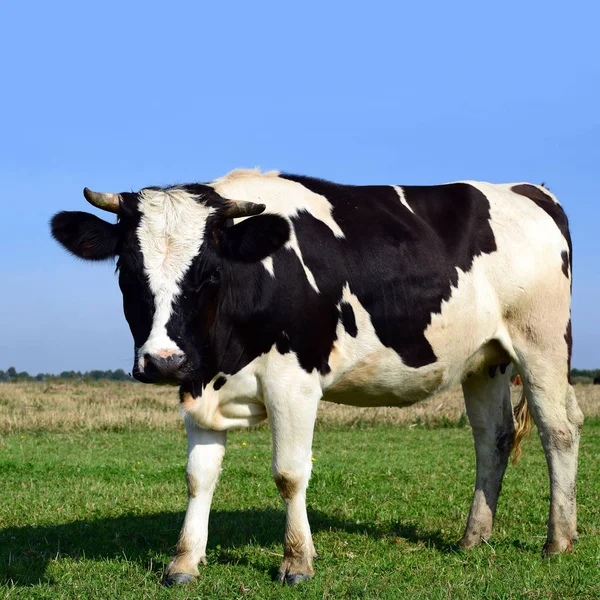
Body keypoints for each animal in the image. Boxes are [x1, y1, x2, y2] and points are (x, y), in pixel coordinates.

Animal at [51, 169, 580, 584]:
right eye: (127, 272)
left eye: (209, 272)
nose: (161, 361)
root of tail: (529, 189)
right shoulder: (197, 383)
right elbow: (198, 477)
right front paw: (184, 562)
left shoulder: (295, 382)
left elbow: (289, 474)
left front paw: (297, 562)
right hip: (485, 359)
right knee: (493, 437)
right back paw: (474, 537)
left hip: (542, 342)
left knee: (560, 430)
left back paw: (558, 540)